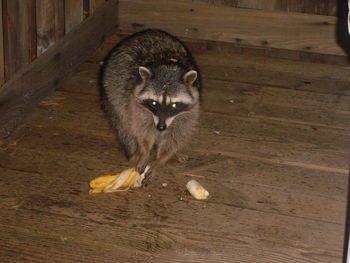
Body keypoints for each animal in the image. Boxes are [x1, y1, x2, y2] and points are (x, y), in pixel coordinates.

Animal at [100, 28, 201, 186]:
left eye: (173, 105)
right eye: (154, 103)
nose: (160, 127)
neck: (168, 68)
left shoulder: (191, 108)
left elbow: (176, 134)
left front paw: (160, 160)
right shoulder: (135, 102)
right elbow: (142, 129)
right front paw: (145, 151)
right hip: (112, 91)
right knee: (124, 120)